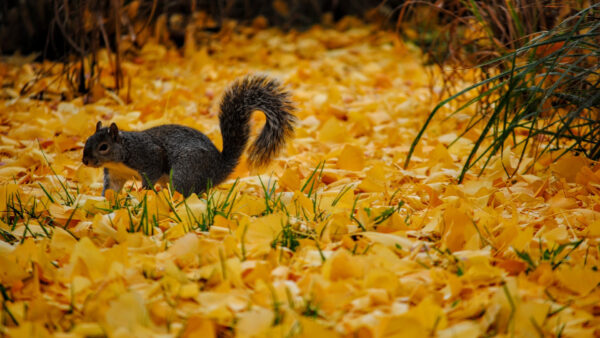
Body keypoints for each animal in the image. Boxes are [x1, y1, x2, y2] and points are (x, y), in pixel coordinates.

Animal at [81, 74, 296, 195]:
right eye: (87, 141)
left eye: (103, 147)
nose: (85, 161)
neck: (122, 154)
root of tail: (218, 169)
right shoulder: (115, 174)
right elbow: (111, 190)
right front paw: (107, 204)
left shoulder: (148, 156)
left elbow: (151, 175)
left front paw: (144, 196)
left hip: (185, 171)